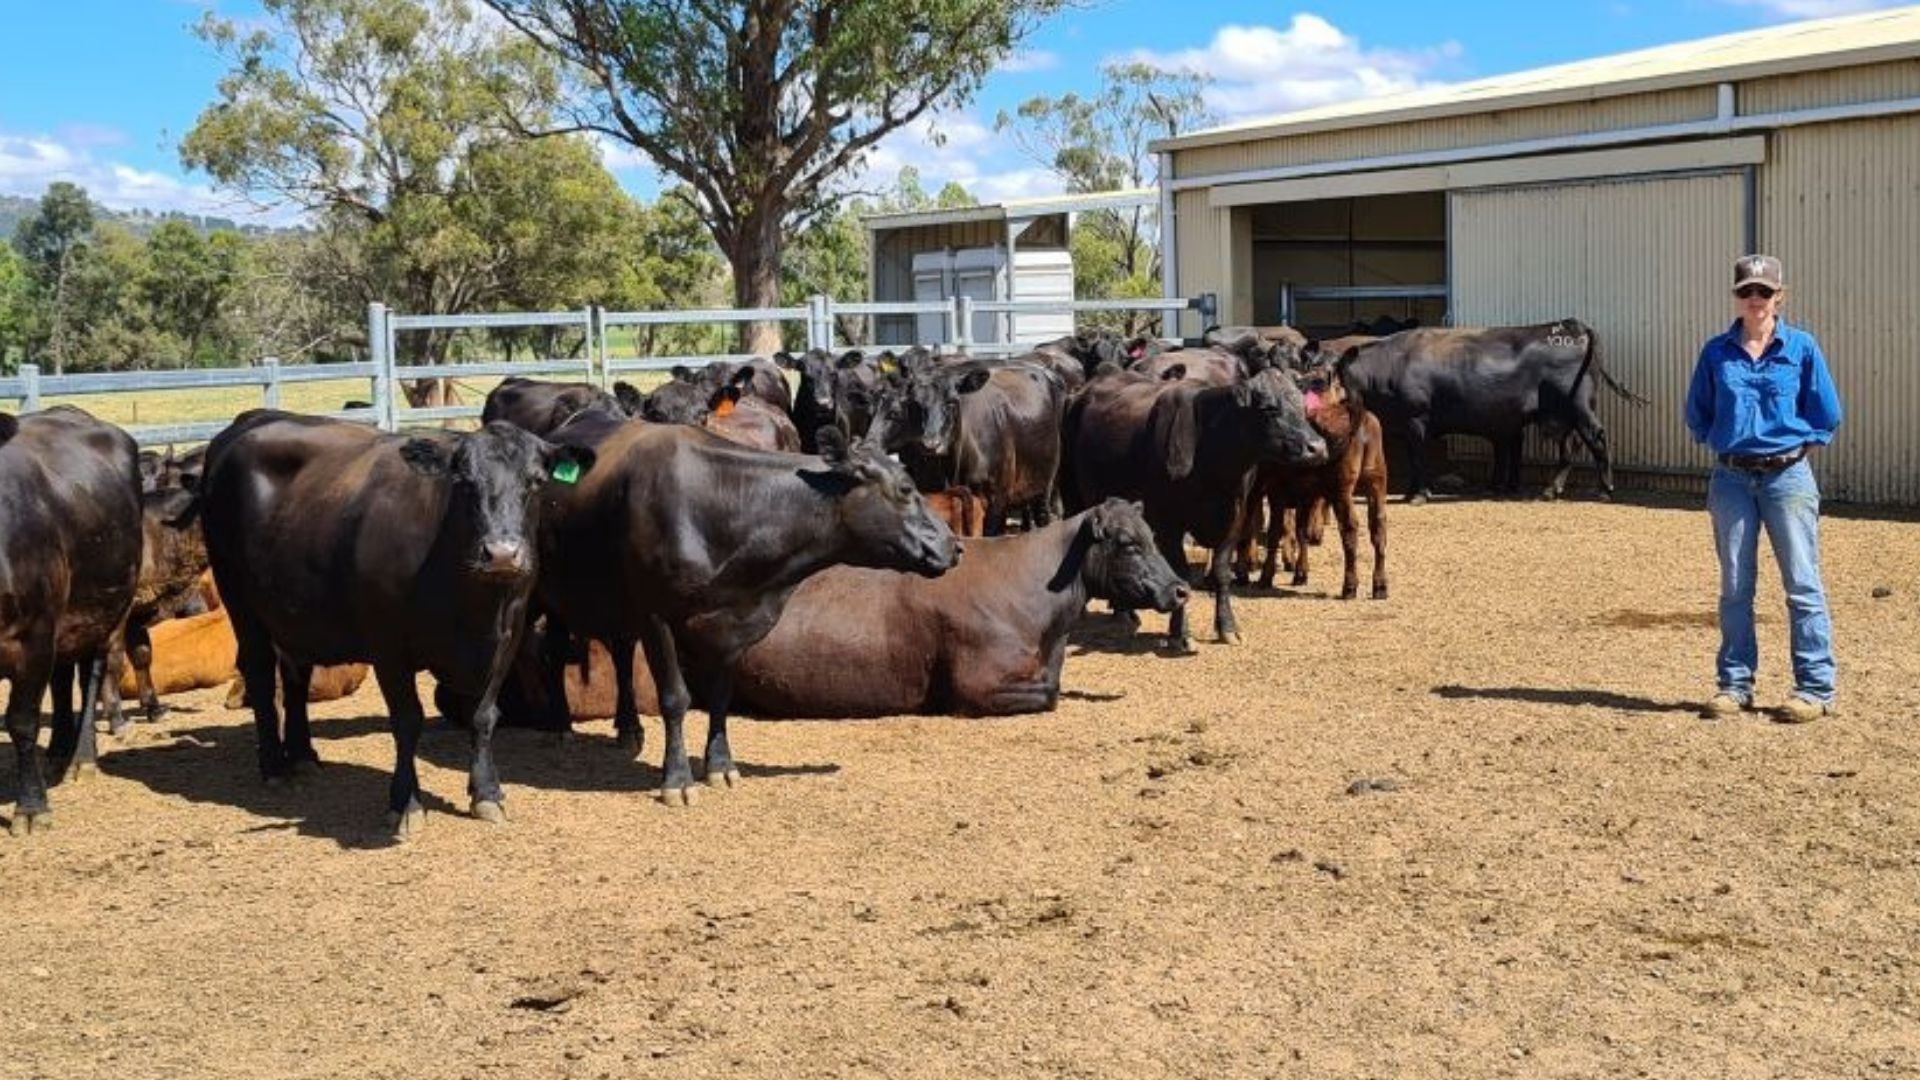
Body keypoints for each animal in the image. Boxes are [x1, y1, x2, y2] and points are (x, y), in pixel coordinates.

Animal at [0, 403, 142, 834]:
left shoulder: (32, 636)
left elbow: (22, 721)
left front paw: (31, 807)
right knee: (62, 680)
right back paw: (59, 749)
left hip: (105, 615)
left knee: (89, 677)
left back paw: (82, 756)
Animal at [192, 407, 591, 837]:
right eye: (464, 481)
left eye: (535, 481)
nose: (501, 553)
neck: (475, 606)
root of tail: (252, 418)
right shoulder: (388, 647)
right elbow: (406, 721)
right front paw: (406, 802)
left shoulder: (507, 637)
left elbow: (484, 716)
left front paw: (487, 793)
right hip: (240, 603)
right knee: (262, 675)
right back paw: (273, 766)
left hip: (294, 611)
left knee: (296, 674)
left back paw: (302, 755)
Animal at [529, 417, 956, 803]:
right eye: (905, 488)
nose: (954, 545)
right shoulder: (656, 614)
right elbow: (675, 697)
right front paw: (677, 779)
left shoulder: (735, 624)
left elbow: (720, 696)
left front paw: (720, 766)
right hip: (545, 594)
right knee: (553, 653)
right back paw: (562, 725)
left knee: (618, 652)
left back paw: (629, 727)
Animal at [1059, 365, 1328, 645]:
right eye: (1269, 408)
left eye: (1302, 407)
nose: (1317, 447)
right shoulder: (1167, 523)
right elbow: (1181, 573)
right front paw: (1179, 632)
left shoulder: (1235, 517)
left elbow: (1221, 572)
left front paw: (1227, 627)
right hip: (1071, 494)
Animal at [1336, 317, 1651, 503]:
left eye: (1331, 374)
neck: (1391, 364)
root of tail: (1571, 325)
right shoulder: (1405, 425)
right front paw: (1413, 491)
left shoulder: (1415, 420)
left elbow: (1418, 458)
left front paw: (1419, 494)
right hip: (1562, 414)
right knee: (1571, 445)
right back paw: (1552, 489)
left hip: (1578, 405)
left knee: (1595, 437)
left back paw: (1605, 489)